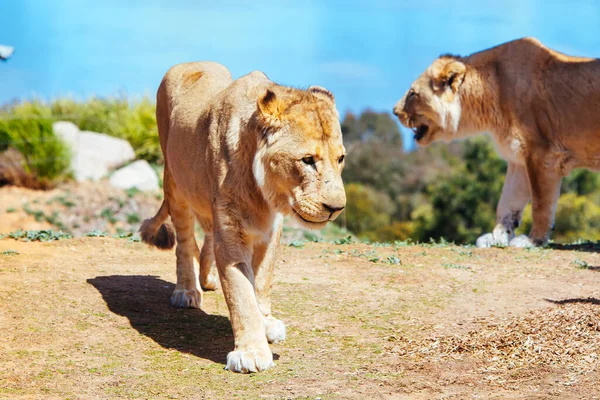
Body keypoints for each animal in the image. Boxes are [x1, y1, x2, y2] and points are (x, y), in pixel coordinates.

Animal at [142, 61, 346, 372]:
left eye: (341, 159)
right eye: (307, 160)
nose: (337, 208)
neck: (266, 194)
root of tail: (189, 64)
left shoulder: (271, 231)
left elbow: (261, 282)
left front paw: (267, 324)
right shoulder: (232, 233)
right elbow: (242, 295)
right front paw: (250, 352)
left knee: (207, 236)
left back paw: (208, 278)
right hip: (174, 182)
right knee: (186, 242)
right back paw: (187, 291)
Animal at [394, 39, 600, 248]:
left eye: (412, 94)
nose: (395, 112)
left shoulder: (543, 155)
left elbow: (541, 204)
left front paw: (533, 240)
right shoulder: (519, 159)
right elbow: (507, 203)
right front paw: (497, 237)